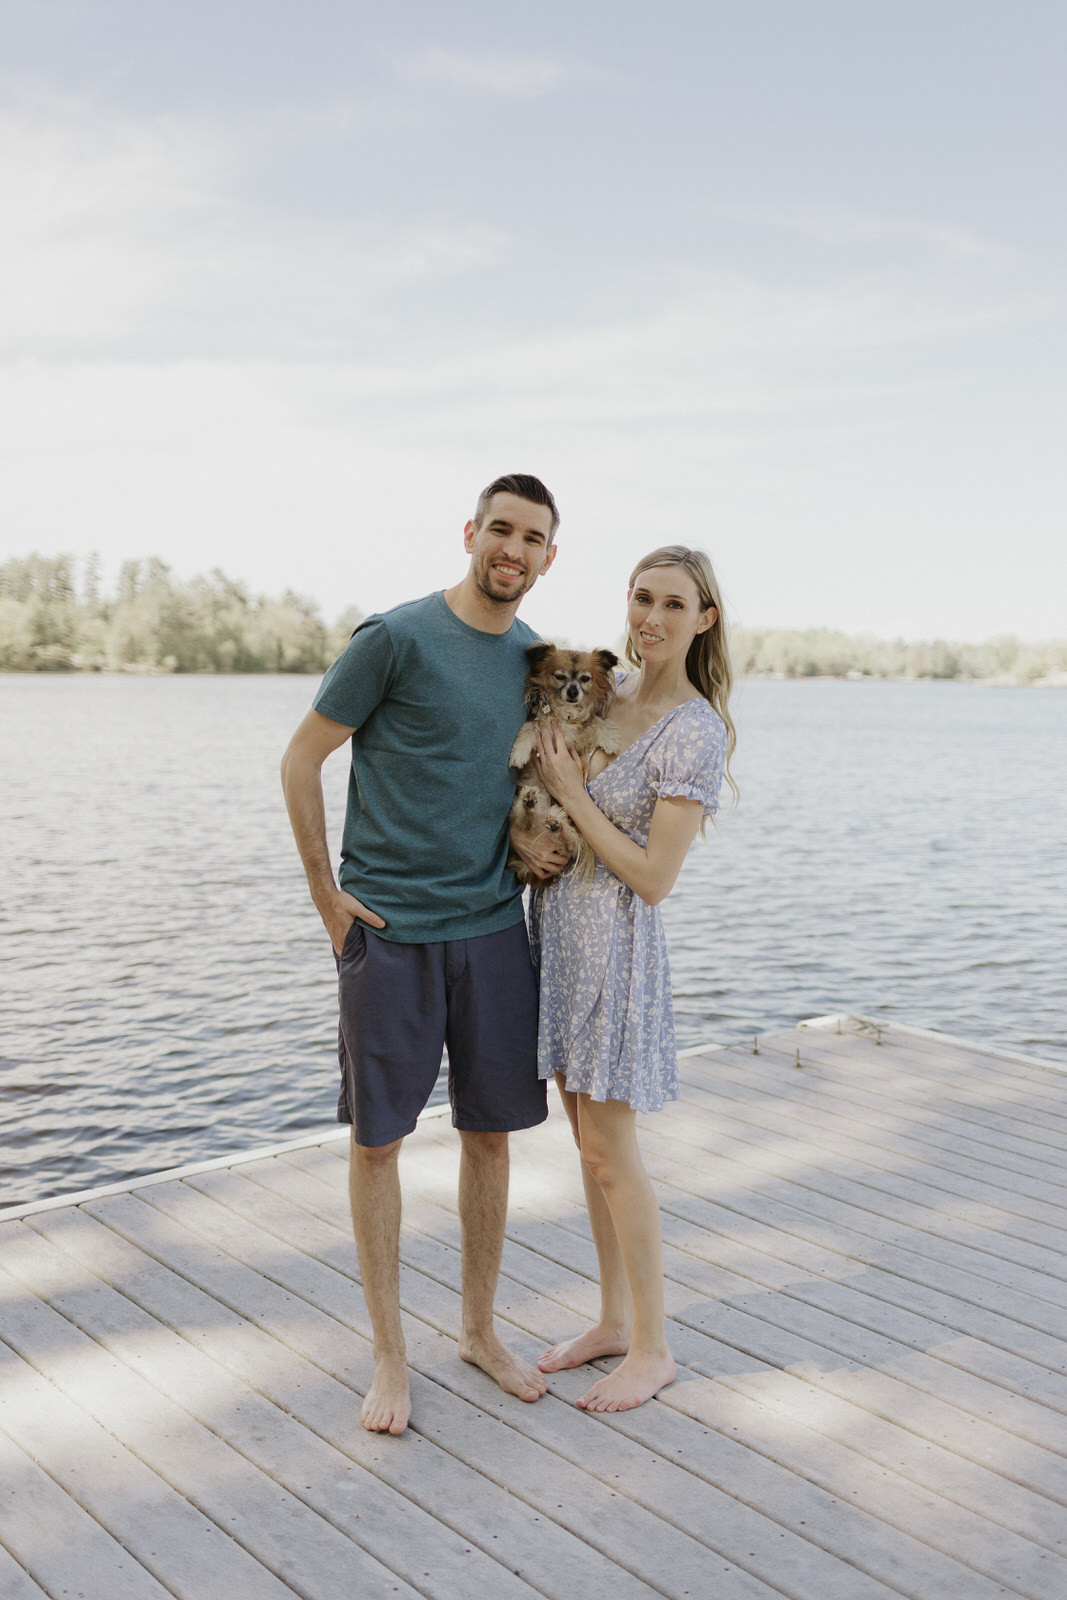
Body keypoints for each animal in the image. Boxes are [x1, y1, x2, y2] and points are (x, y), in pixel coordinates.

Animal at [508, 640, 620, 889]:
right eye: (559, 676)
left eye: (585, 679)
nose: (573, 691)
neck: (564, 715)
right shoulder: (538, 725)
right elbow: (528, 729)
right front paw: (518, 752)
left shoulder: (580, 742)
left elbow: (599, 723)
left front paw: (611, 739)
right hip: (530, 806)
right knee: (524, 822)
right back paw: (529, 803)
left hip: (571, 820)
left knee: (570, 844)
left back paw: (558, 826)